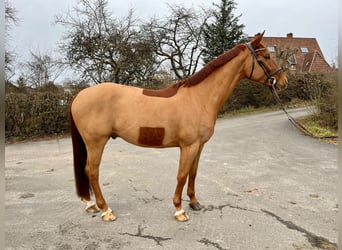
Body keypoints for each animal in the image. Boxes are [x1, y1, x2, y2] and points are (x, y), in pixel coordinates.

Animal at [69, 32, 286, 222]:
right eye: (267, 56)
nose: (283, 82)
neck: (199, 98)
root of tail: (78, 96)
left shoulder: (199, 146)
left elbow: (193, 173)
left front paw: (194, 202)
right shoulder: (188, 146)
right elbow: (181, 175)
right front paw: (179, 210)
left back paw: (90, 205)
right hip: (96, 142)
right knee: (92, 171)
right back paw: (106, 210)